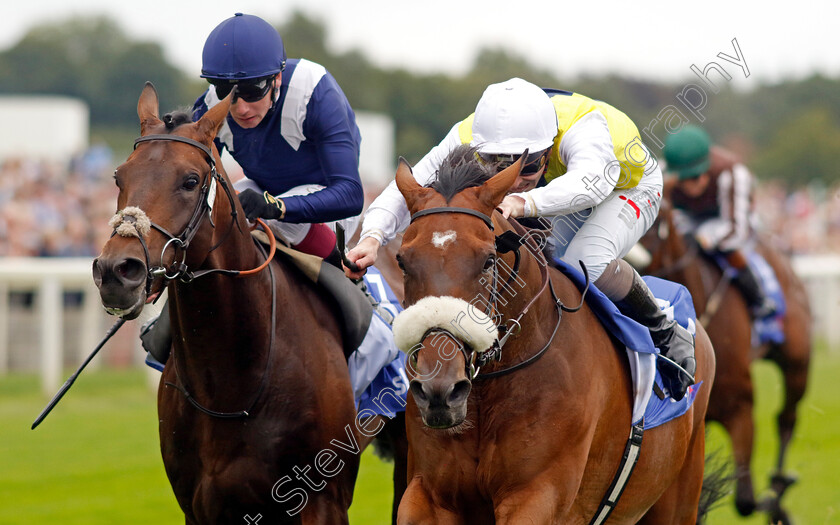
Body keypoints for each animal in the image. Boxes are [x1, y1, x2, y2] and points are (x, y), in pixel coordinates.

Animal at [92, 82, 406, 520]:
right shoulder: (200, 506)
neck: (230, 381)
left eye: (191, 180)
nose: (117, 271)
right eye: (119, 176)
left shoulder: (322, 501)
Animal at [388, 145, 716, 520]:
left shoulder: (537, 494)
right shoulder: (429, 494)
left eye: (488, 261)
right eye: (402, 260)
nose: (439, 390)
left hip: (679, 494)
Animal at [640, 189, 812, 524]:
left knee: (786, 417)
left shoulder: (740, 407)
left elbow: (745, 500)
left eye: (658, 221)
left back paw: (779, 484)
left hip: (797, 363)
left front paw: (773, 502)